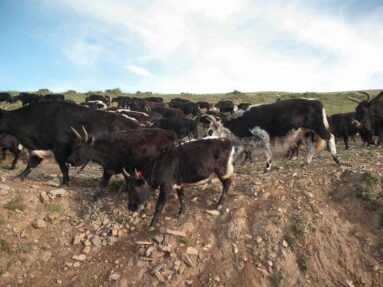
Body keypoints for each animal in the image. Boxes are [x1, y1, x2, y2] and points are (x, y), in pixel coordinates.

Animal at [0, 102, 140, 186]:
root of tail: (136, 123)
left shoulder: (60, 150)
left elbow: (63, 167)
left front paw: (65, 182)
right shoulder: (39, 149)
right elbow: (31, 164)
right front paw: (19, 176)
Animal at [208, 99, 340, 171]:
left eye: (210, 131)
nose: (205, 139)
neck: (244, 119)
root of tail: (315, 101)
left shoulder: (263, 136)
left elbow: (267, 153)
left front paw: (267, 168)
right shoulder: (247, 142)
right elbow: (237, 154)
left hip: (318, 128)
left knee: (331, 137)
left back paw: (336, 159)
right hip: (306, 133)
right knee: (310, 147)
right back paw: (305, 163)